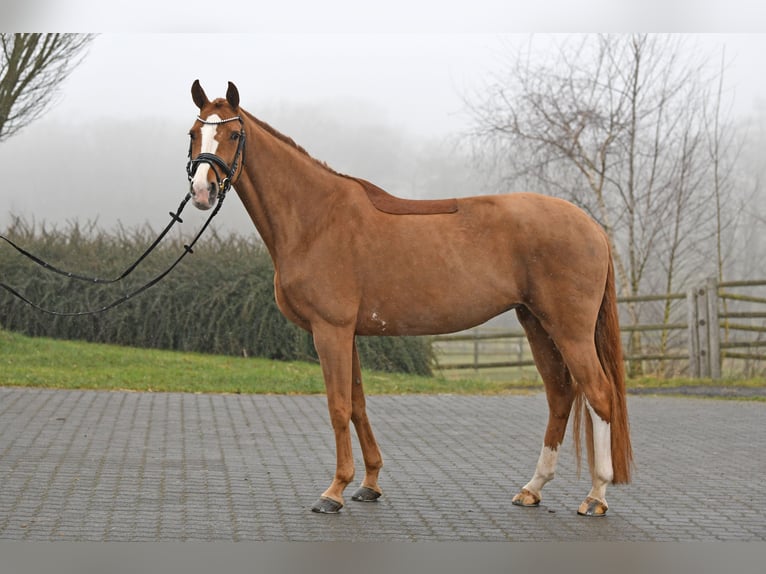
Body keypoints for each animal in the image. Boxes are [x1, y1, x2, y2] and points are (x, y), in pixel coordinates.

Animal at [188, 82, 636, 520]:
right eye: (194, 133)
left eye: (233, 134)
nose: (202, 190)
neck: (316, 218)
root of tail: (592, 226)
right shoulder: (348, 334)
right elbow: (358, 404)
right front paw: (369, 483)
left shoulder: (330, 330)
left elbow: (338, 406)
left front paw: (334, 491)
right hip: (535, 322)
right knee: (560, 395)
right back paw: (533, 488)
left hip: (569, 329)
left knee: (599, 394)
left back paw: (596, 495)